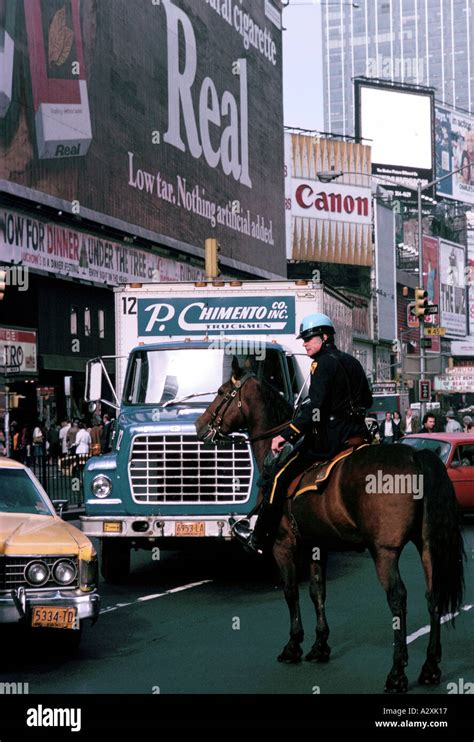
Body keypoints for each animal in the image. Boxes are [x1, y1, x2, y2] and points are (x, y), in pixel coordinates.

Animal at [194, 362, 464, 696]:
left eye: (221, 393)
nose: (199, 426)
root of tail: (416, 455)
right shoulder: (316, 544)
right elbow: (316, 591)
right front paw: (320, 645)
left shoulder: (283, 545)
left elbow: (290, 592)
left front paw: (293, 645)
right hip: (426, 544)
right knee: (432, 595)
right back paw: (430, 667)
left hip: (384, 551)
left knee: (398, 598)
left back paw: (397, 673)